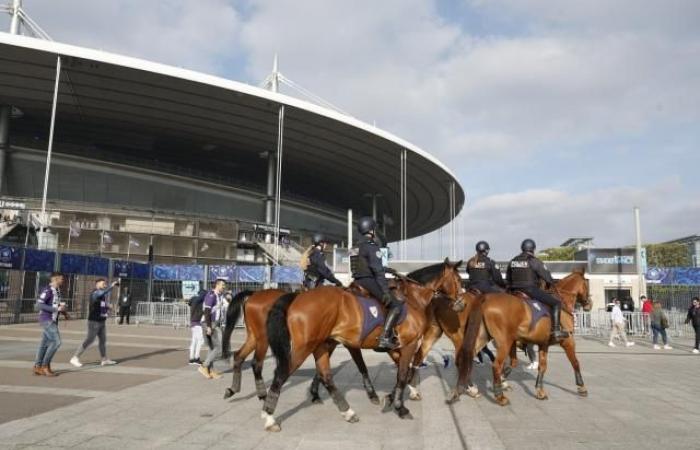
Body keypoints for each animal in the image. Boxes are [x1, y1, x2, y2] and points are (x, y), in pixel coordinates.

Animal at [223, 290, 378, 402]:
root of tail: (254, 294)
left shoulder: (328, 343)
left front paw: (315, 391)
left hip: (254, 337)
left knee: (239, 356)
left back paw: (233, 389)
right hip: (263, 338)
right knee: (257, 363)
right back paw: (262, 394)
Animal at [260, 260, 462, 432]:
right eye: (459, 280)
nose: (461, 303)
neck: (412, 299)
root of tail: (298, 296)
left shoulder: (394, 348)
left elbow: (399, 372)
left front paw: (393, 397)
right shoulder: (408, 345)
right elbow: (402, 374)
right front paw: (400, 407)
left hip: (322, 346)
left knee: (326, 376)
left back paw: (347, 412)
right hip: (303, 348)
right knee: (281, 374)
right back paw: (269, 418)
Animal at [454, 268, 592, 406]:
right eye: (586, 284)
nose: (589, 304)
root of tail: (485, 300)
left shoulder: (543, 344)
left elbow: (540, 366)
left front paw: (539, 391)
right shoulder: (568, 341)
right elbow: (575, 363)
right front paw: (581, 387)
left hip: (484, 337)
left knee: (467, 357)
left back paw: (470, 388)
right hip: (504, 342)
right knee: (496, 365)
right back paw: (499, 397)